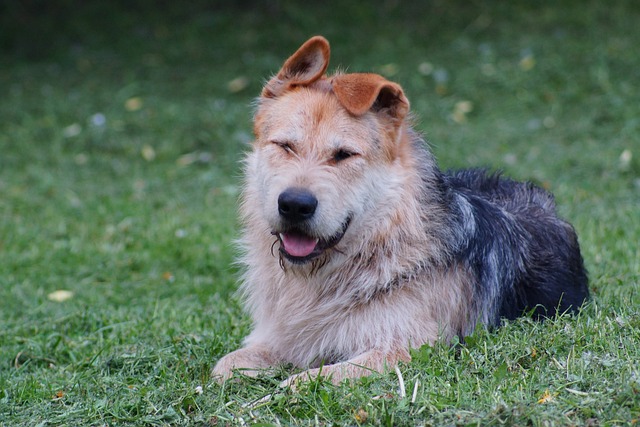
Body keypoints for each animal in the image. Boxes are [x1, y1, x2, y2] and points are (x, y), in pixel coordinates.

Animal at [214, 35, 592, 386]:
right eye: (285, 146)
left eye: (344, 155)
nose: (294, 204)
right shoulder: (280, 336)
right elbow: (223, 366)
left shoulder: (409, 347)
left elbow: (302, 381)